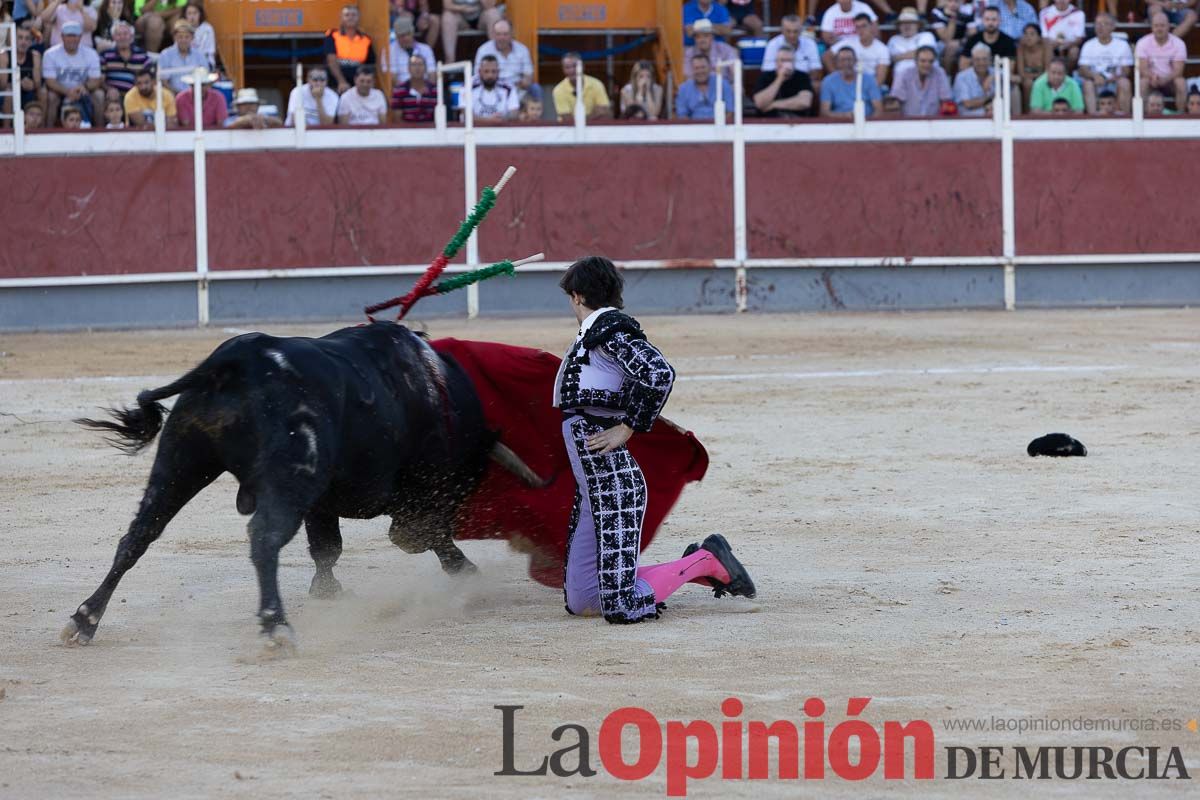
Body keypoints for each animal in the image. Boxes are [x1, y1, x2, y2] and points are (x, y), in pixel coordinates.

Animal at [68, 321, 547, 652]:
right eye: (467, 481)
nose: (403, 540)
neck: (435, 389)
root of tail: (234, 362)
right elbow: (430, 533)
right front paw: (465, 572)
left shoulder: (322, 500)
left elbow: (326, 547)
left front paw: (327, 592)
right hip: (286, 477)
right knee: (264, 538)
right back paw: (276, 627)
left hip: (180, 459)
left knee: (139, 534)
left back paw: (85, 619)